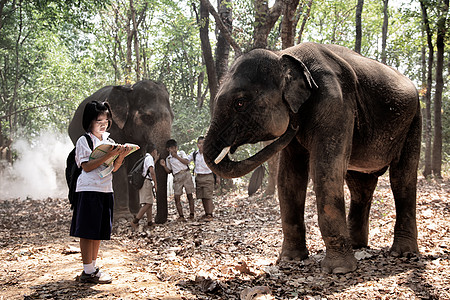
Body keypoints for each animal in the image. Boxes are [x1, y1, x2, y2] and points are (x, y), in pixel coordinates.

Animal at [69, 78, 174, 224]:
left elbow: (135, 161)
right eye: (148, 118)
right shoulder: (112, 126)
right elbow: (118, 165)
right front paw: (124, 217)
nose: (158, 219)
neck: (128, 90)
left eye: (173, 117)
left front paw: (134, 213)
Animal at [204, 42, 422, 274]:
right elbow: (290, 178)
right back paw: (357, 246)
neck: (285, 55)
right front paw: (290, 260)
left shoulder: (336, 103)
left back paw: (402, 254)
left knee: (402, 179)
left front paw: (338, 270)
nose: (293, 125)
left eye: (240, 103)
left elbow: (325, 171)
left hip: (413, 120)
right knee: (360, 186)